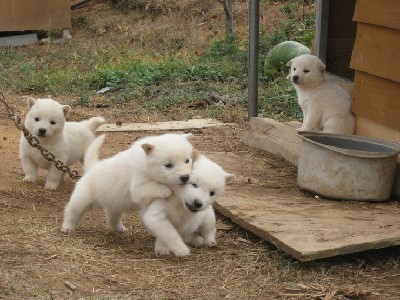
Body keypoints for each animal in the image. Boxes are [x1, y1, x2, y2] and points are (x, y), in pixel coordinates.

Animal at [60, 132, 195, 233]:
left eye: (187, 160)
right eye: (168, 165)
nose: (185, 177)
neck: (146, 163)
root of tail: (92, 167)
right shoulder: (137, 187)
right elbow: (151, 186)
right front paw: (165, 191)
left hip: (115, 204)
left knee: (112, 218)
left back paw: (120, 228)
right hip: (82, 199)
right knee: (72, 211)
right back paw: (67, 227)